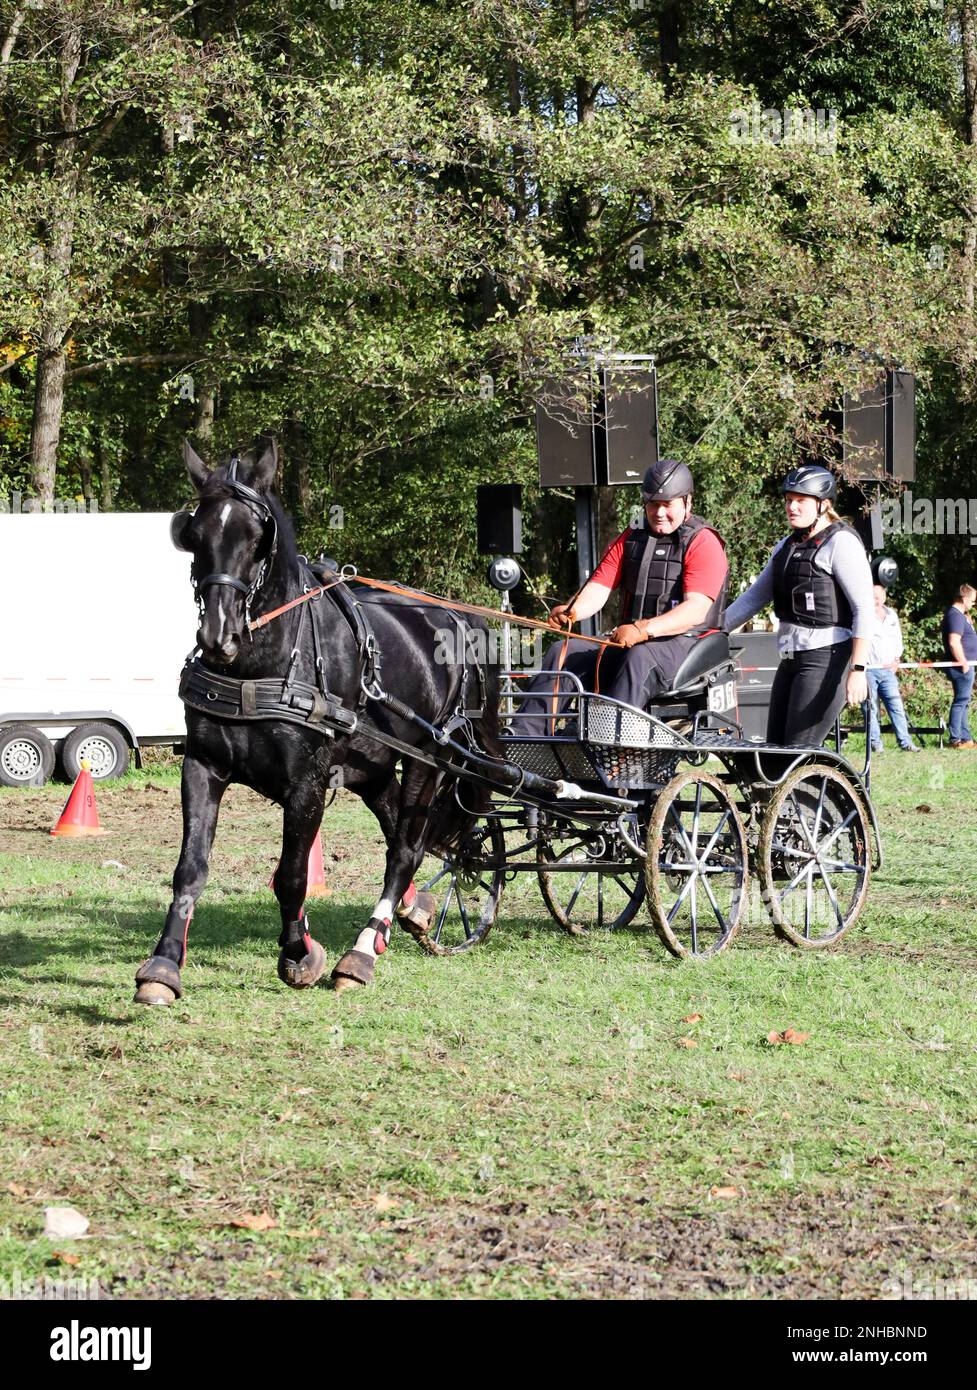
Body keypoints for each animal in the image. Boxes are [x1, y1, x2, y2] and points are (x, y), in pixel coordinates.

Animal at [133, 437, 499, 1005]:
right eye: (194, 536)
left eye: (258, 539)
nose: (218, 635)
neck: (266, 661)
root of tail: (455, 618)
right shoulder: (202, 765)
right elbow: (190, 868)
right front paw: (164, 965)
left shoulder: (305, 783)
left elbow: (291, 876)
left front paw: (298, 955)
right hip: (372, 765)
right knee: (398, 831)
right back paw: (411, 913)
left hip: (430, 759)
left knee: (406, 849)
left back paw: (362, 953)